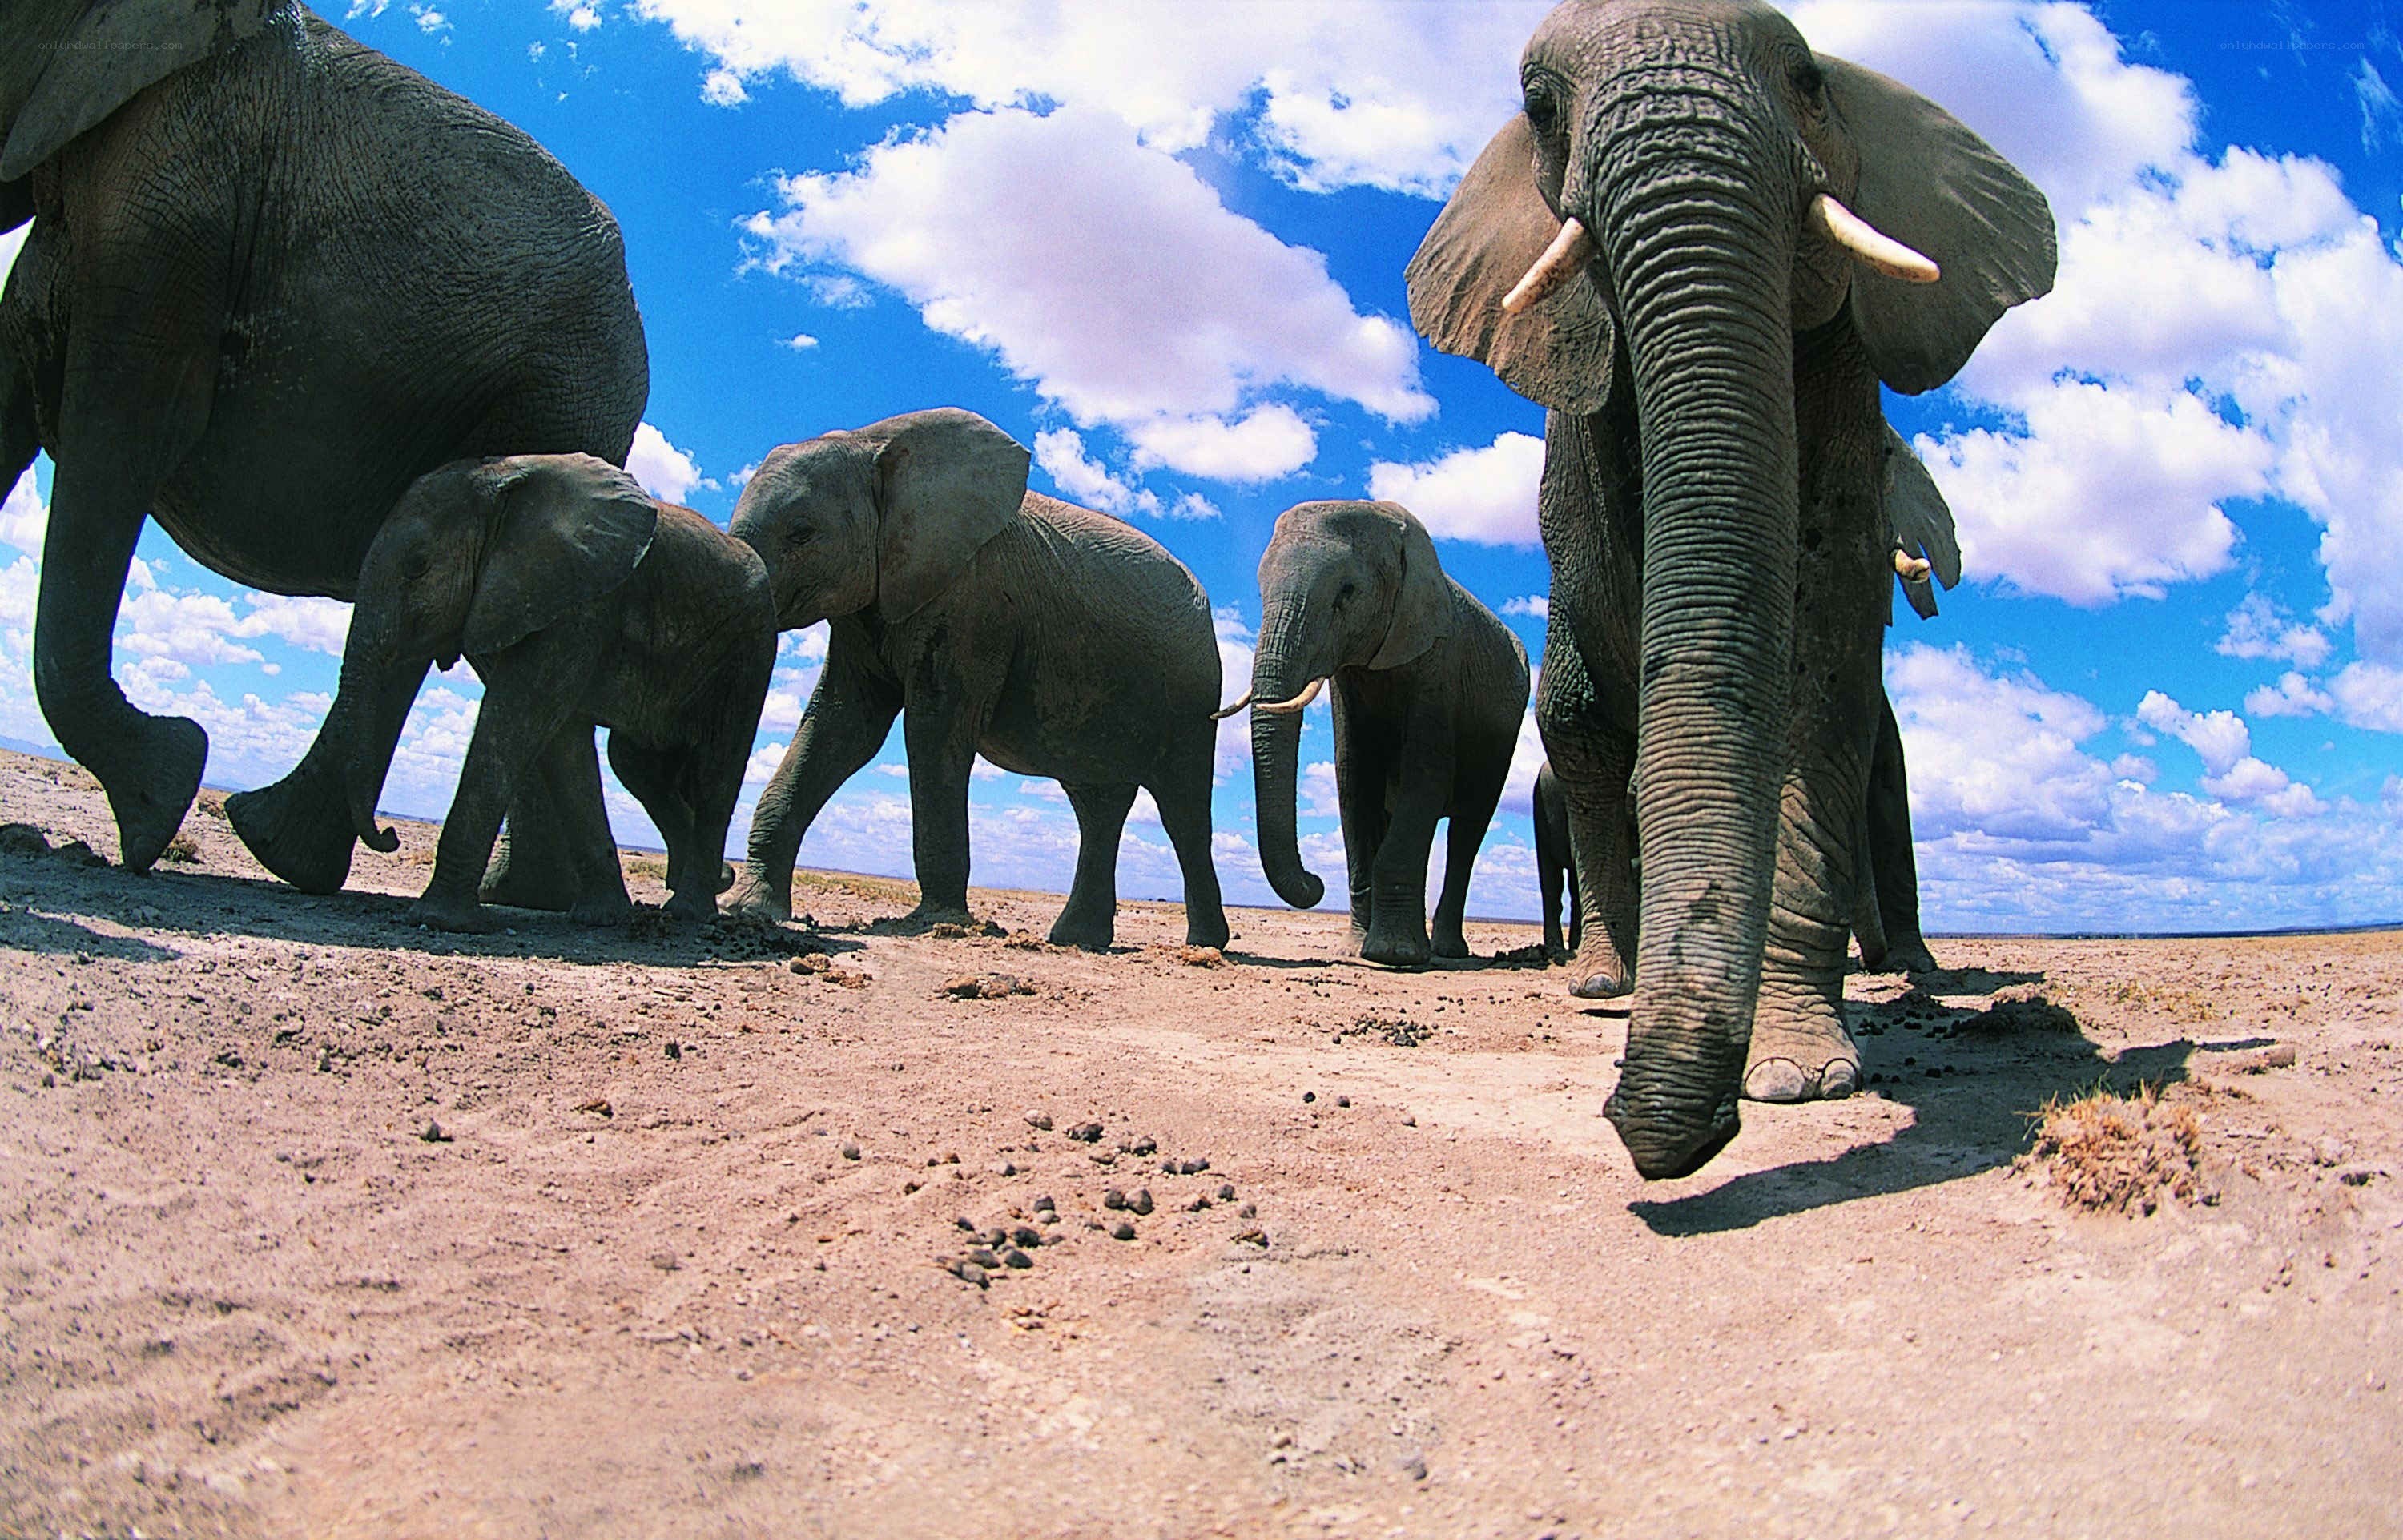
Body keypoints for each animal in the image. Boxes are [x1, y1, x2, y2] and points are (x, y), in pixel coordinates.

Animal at [0, 0, 649, 880]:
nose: (394, 838)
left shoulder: (179, 187)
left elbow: (127, 418)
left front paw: (157, 798)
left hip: (557, 391)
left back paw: (285, 854)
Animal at [229, 454, 776, 932]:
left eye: (418, 566)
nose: (390, 835)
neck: (505, 480)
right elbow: (562, 743)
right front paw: (599, 918)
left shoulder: (582, 604)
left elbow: (516, 718)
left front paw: (442, 921)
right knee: (636, 765)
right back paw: (704, 888)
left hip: (747, 652)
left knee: (715, 770)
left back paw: (688, 913)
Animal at [721, 408, 1228, 952]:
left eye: (801, 532)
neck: (872, 444)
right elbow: (841, 728)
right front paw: (751, 909)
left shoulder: (972, 602)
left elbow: (931, 731)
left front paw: (937, 923)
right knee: (1097, 807)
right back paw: (1076, 940)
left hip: (1194, 689)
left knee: (1181, 810)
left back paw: (1205, 945)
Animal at [1235, 499, 1529, 968]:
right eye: (1261, 592)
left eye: (1347, 593)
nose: (1315, 881)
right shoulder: (1348, 679)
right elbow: (1354, 781)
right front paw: (1356, 950)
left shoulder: (1440, 662)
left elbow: (1424, 776)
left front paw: (1394, 956)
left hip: (1502, 740)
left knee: (1468, 830)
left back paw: (1445, 951)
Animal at [1406, 0, 2053, 1176]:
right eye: (1540, 108)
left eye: (1806, 78)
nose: (1656, 1128)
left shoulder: (1848, 379)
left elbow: (1825, 654)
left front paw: (1801, 1077)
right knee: (1584, 733)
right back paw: (1604, 985)